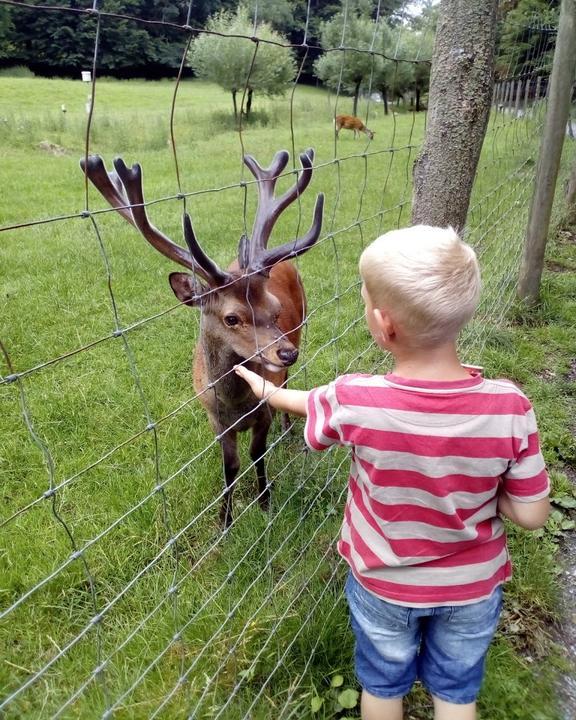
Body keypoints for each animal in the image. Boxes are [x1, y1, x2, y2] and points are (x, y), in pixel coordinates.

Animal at [80, 149, 324, 524]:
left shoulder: (263, 411)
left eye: (275, 307)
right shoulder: (214, 420)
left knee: (286, 384)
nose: (285, 353)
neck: (235, 405)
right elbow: (230, 466)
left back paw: (287, 427)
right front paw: (224, 520)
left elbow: (257, 454)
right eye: (231, 318)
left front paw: (265, 502)